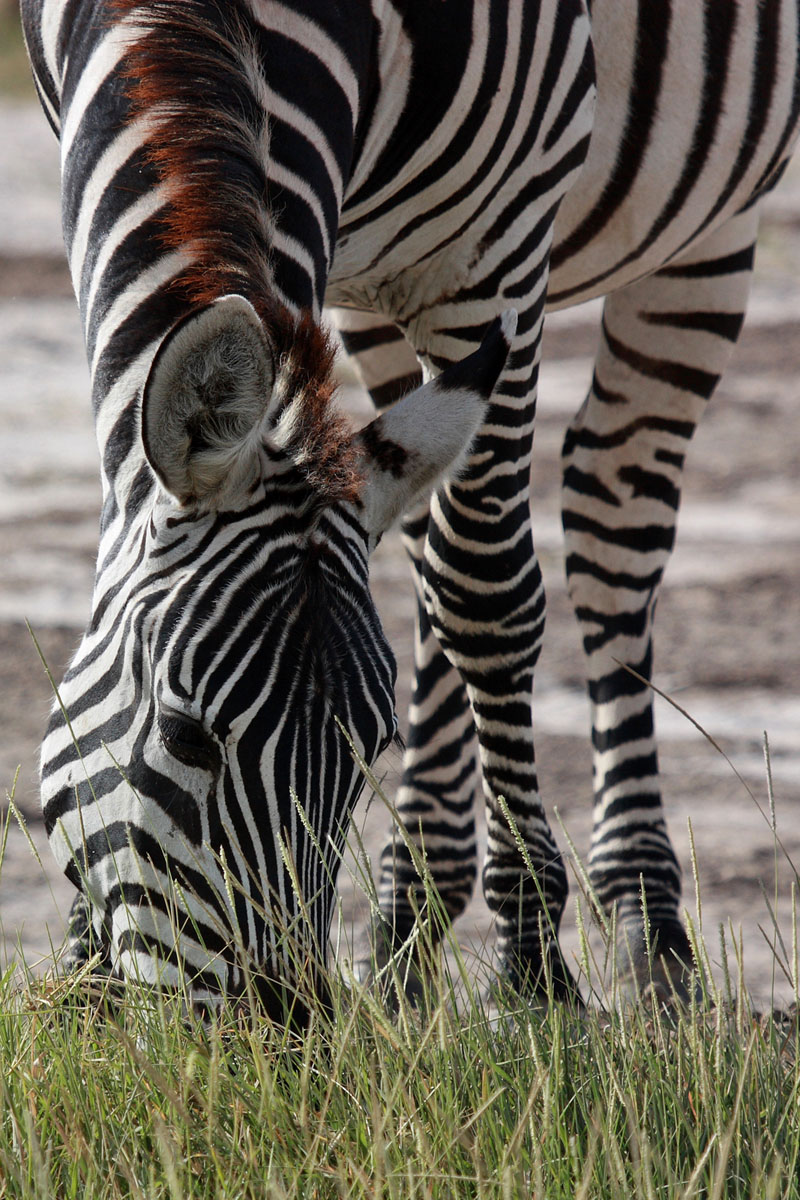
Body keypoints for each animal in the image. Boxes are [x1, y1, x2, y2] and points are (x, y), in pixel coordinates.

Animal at [20, 0, 800, 1015]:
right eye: (187, 734)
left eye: (369, 753)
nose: (279, 1033)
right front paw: (87, 971)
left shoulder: (498, 249)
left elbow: (487, 594)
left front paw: (532, 967)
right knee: (425, 528)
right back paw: (409, 914)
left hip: (705, 230)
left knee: (606, 517)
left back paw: (646, 926)